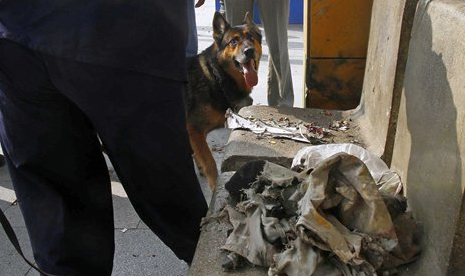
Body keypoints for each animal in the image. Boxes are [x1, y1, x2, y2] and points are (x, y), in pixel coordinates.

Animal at [184, 12, 260, 190]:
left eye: (251, 37)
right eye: (233, 41)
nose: (249, 51)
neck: (216, 76)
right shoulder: (193, 128)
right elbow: (210, 164)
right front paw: (214, 187)